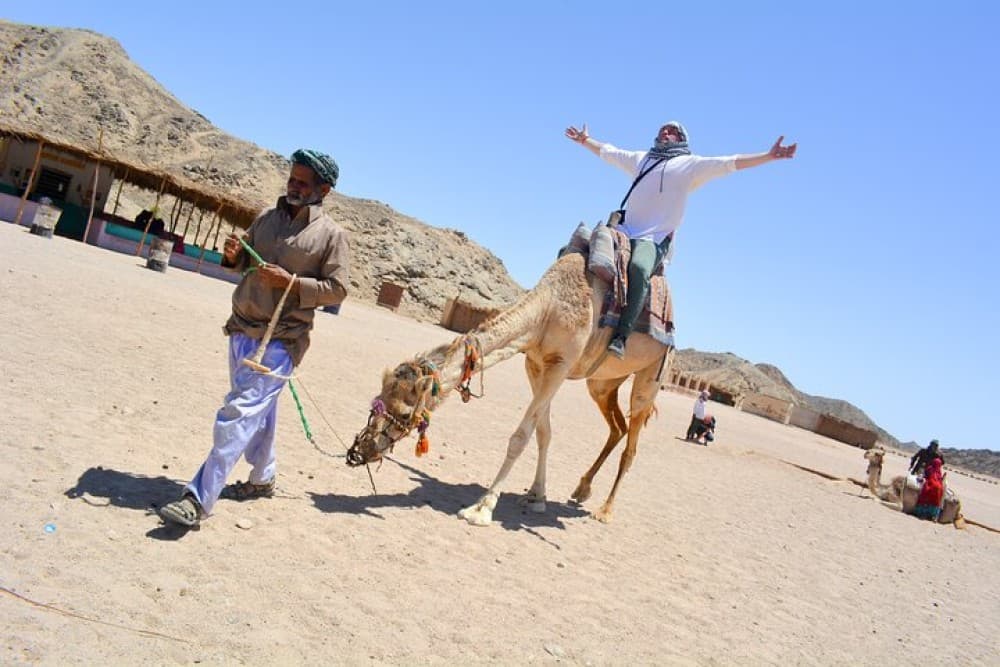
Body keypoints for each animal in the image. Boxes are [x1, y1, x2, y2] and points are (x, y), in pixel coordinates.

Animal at [347, 251, 674, 525]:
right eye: (377, 399)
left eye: (404, 413)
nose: (362, 448)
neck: (548, 309)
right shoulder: (536, 364)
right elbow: (543, 433)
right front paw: (537, 496)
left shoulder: (561, 364)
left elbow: (520, 436)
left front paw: (482, 508)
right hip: (602, 383)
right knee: (616, 426)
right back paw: (582, 490)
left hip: (651, 377)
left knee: (632, 442)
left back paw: (604, 511)